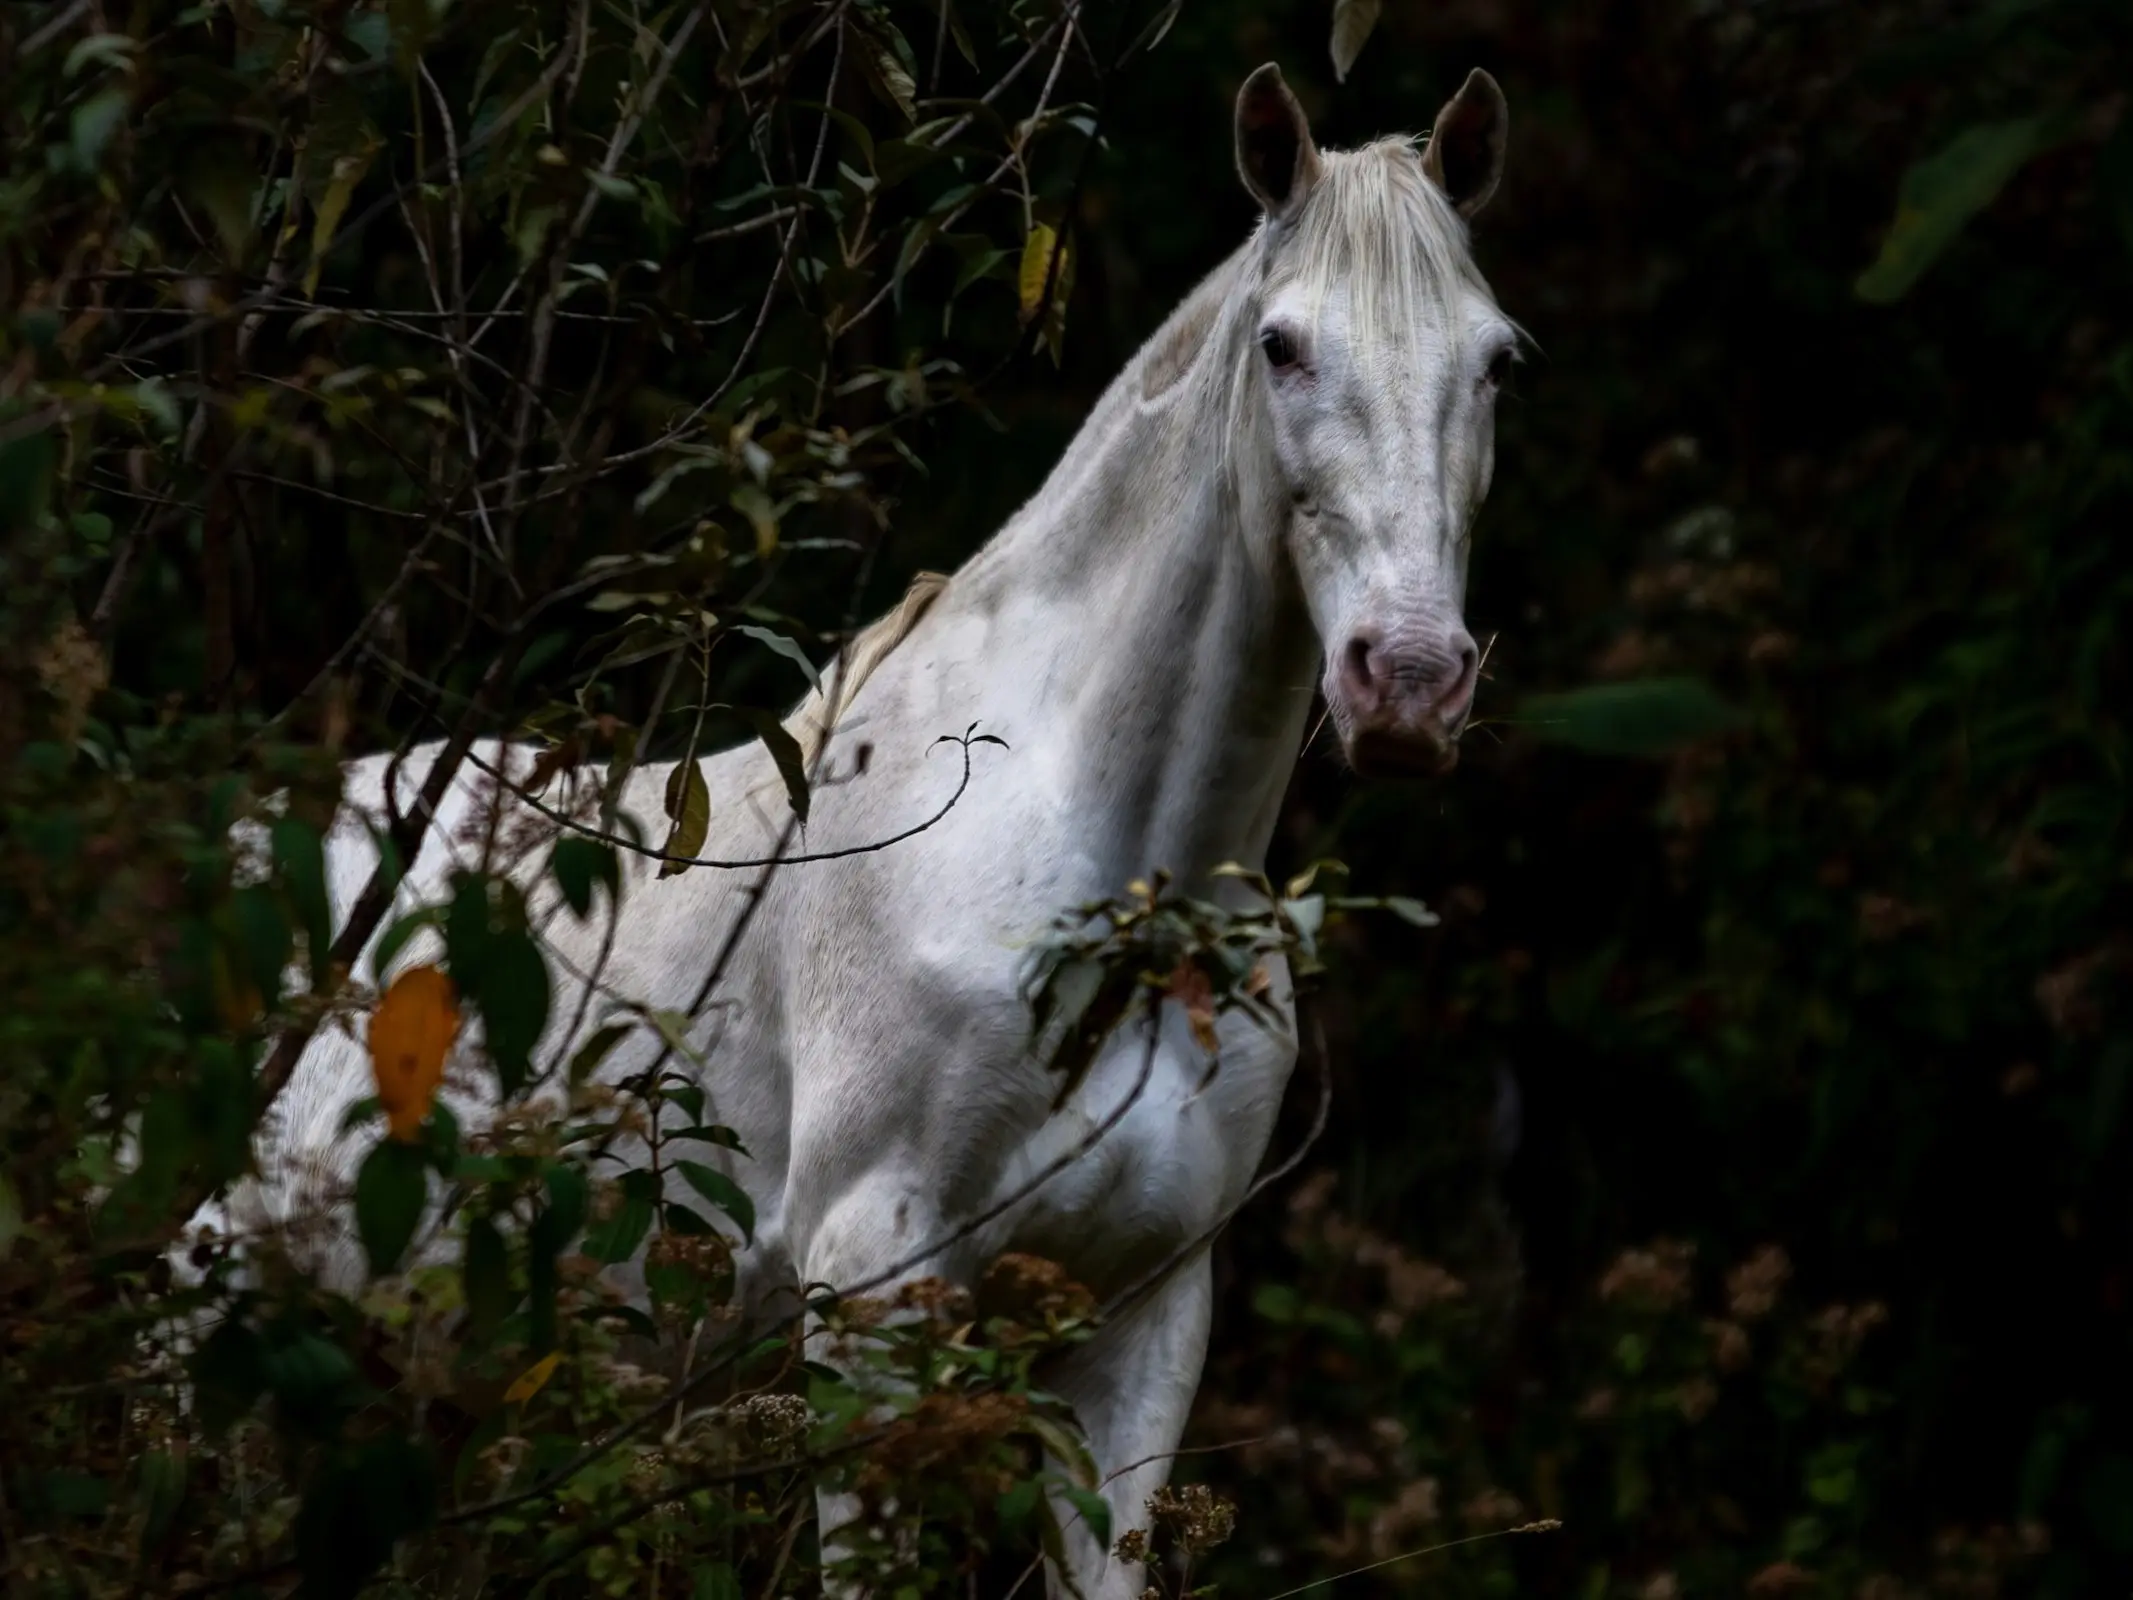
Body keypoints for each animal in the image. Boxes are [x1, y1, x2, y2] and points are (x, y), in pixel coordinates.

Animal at [216, 62, 1518, 1600]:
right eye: (1282, 346)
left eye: (1497, 361)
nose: (1410, 681)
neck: (1099, 884)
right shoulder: (873, 1297)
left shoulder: (1139, 1322)